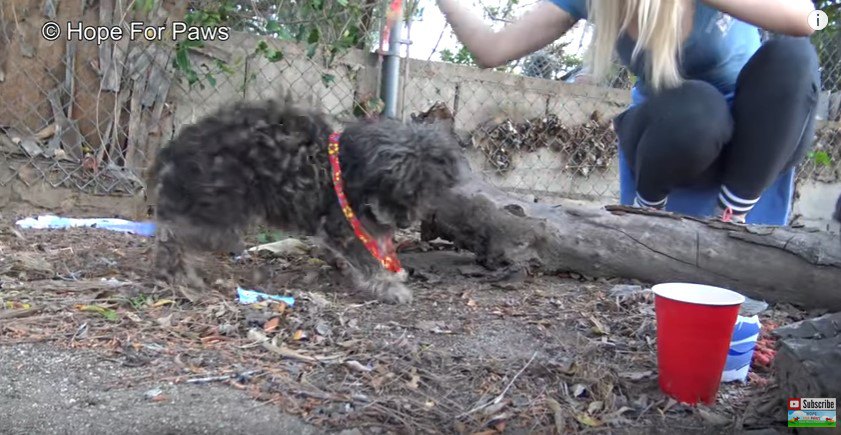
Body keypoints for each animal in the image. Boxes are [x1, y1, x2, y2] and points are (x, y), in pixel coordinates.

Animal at [146, 98, 460, 304]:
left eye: (422, 190)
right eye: (395, 186)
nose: (404, 222)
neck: (350, 169)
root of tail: (180, 146)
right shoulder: (343, 225)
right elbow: (366, 256)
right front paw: (387, 286)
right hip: (219, 214)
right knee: (173, 232)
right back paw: (176, 272)